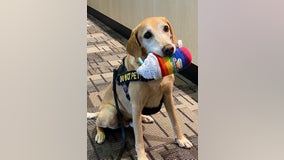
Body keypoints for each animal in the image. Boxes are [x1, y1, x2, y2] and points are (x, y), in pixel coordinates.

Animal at [88, 16, 193, 159]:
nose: (169, 49)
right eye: (147, 35)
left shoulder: (168, 97)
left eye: (166, 28)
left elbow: (175, 121)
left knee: (131, 122)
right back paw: (100, 134)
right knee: (99, 123)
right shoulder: (136, 104)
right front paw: (142, 156)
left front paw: (181, 139)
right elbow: (139, 139)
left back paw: (143, 118)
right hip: (110, 112)